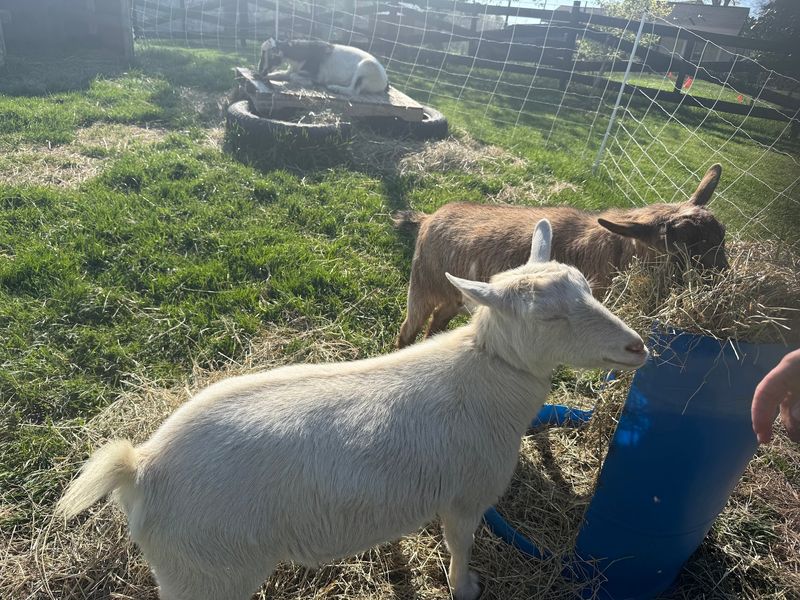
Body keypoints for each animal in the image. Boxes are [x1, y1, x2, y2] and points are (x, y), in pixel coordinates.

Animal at [56, 221, 648, 600]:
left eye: (587, 287)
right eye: (547, 317)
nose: (637, 347)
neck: (487, 371)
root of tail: (140, 466)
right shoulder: (466, 495)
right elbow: (460, 545)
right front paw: (466, 587)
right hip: (205, 574)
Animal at [259, 39, 389, 96]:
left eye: (270, 56)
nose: (261, 71)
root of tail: (385, 82)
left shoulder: (317, 75)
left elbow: (293, 76)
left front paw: (310, 83)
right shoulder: (290, 70)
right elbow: (280, 74)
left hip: (367, 67)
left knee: (353, 91)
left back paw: (334, 88)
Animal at [394, 164, 726, 348]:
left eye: (721, 236)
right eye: (680, 247)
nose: (718, 281)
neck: (613, 249)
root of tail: (429, 218)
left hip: (454, 296)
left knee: (436, 321)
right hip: (422, 286)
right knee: (408, 329)